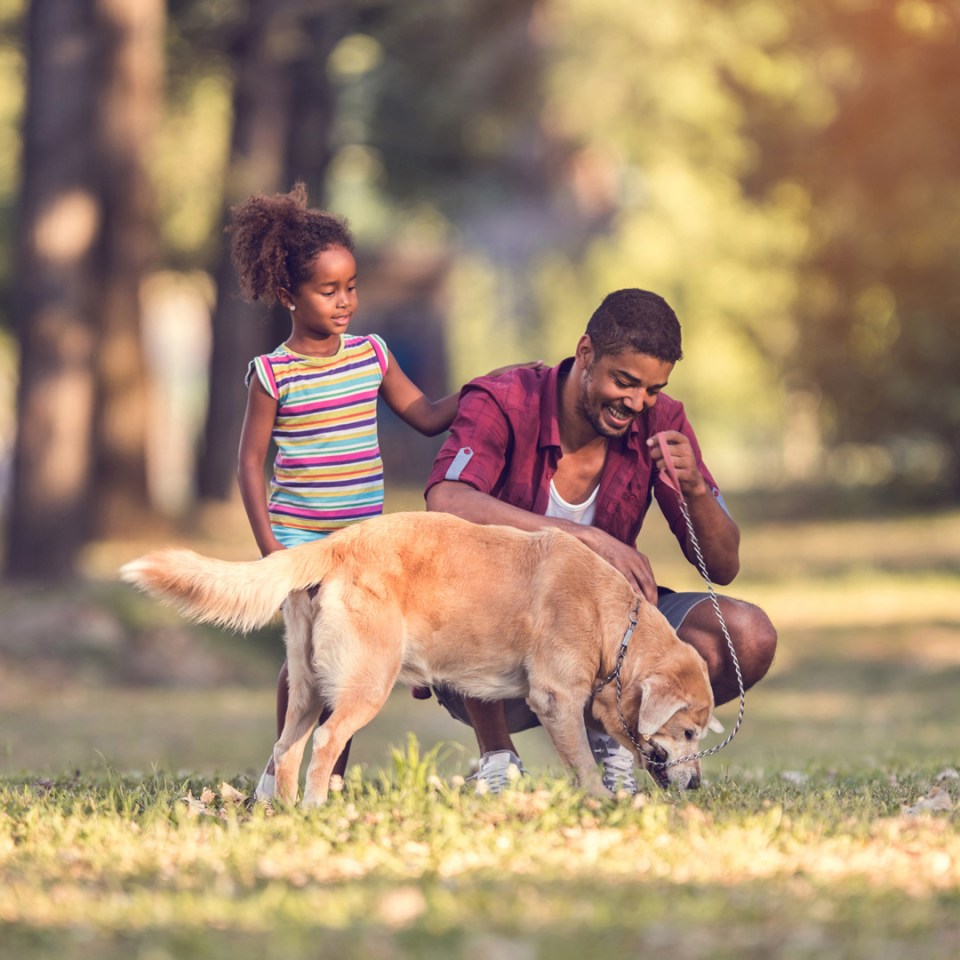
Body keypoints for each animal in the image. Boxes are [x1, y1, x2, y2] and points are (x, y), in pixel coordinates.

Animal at [120, 512, 716, 808]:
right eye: (688, 733)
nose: (697, 788)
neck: (613, 621)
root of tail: (335, 543)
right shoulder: (556, 700)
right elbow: (585, 765)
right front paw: (600, 802)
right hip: (365, 686)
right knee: (325, 746)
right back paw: (317, 810)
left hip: (307, 688)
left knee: (286, 750)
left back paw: (286, 814)